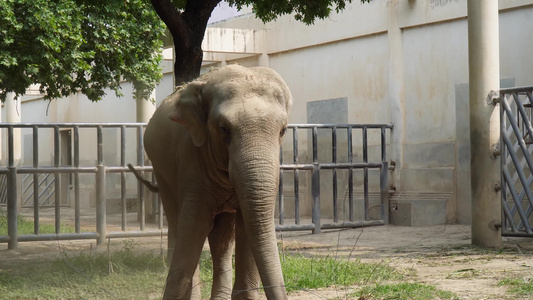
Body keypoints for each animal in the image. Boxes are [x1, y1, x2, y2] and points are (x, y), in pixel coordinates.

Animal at [139, 65, 290, 300]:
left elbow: (248, 225)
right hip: (162, 172)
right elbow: (195, 225)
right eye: (223, 129)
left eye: (283, 130)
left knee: (222, 239)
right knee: (179, 223)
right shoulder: (191, 157)